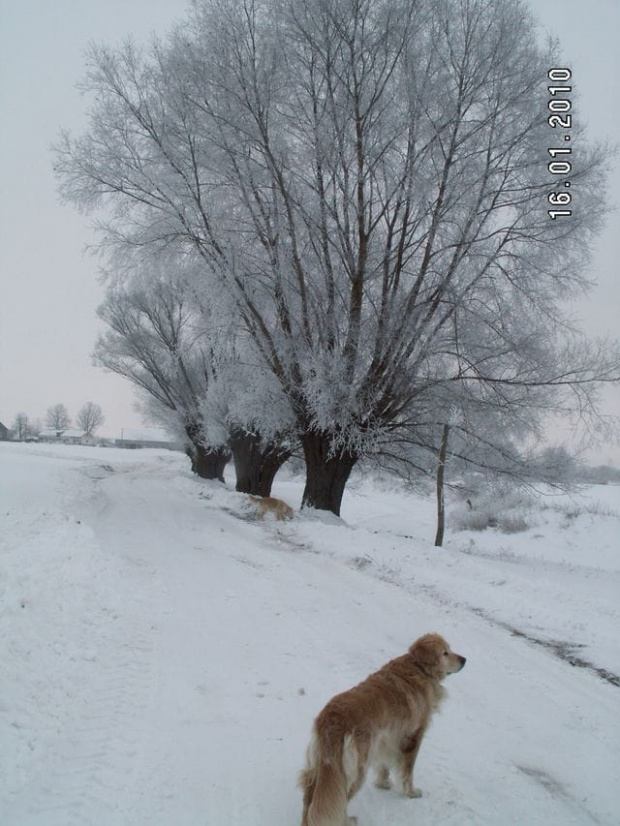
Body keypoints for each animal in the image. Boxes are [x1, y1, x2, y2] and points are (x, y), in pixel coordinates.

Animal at [300, 632, 464, 824]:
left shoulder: (387, 737)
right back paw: (348, 820)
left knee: (310, 798)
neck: (418, 667)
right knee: (341, 801)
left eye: (449, 650)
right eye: (445, 653)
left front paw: (383, 783)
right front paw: (411, 793)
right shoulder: (413, 737)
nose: (465, 660)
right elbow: (408, 772)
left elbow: (385, 764)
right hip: (355, 770)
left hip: (321, 766)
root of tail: (333, 720)